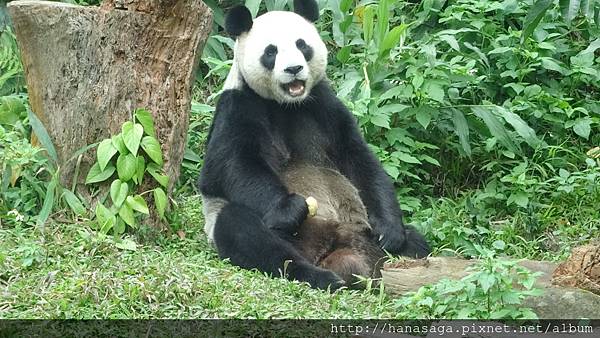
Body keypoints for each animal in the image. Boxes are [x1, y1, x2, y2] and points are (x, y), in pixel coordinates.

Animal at [198, 0, 432, 290]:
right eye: (271, 52)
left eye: (302, 45)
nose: (293, 69)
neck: (286, 104)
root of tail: (336, 251)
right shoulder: (238, 106)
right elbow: (230, 166)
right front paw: (291, 208)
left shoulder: (324, 104)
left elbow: (359, 159)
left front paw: (388, 231)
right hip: (283, 234)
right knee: (246, 232)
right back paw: (320, 276)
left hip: (362, 230)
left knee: (417, 243)